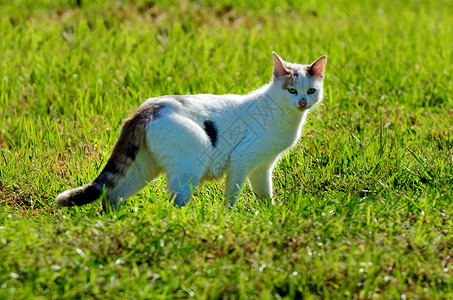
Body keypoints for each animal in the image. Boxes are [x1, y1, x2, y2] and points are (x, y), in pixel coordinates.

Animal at [55, 51, 324, 210]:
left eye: (311, 90)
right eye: (291, 90)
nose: (302, 102)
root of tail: (147, 109)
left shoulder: (262, 166)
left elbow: (264, 194)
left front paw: (271, 215)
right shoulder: (242, 159)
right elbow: (232, 195)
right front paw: (228, 218)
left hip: (142, 169)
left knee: (111, 195)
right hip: (191, 164)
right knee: (172, 206)